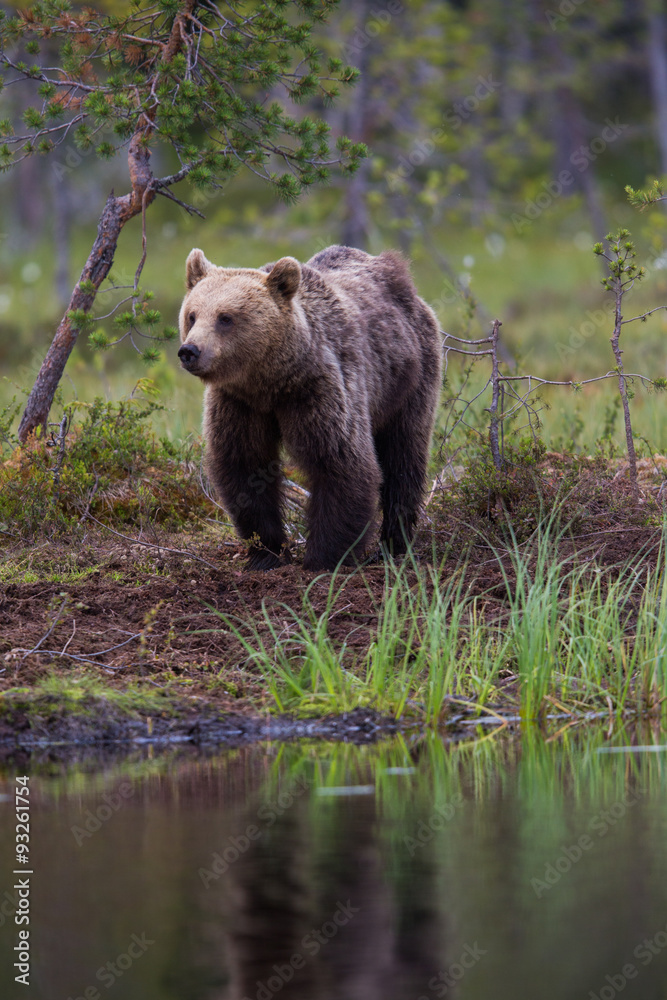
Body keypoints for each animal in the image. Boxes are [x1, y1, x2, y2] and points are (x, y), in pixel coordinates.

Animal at [177, 244, 442, 571]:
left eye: (225, 317)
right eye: (192, 315)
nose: (190, 351)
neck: (270, 382)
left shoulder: (317, 389)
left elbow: (340, 462)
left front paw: (323, 558)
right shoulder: (238, 404)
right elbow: (244, 465)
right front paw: (265, 553)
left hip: (409, 378)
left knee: (404, 455)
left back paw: (394, 543)